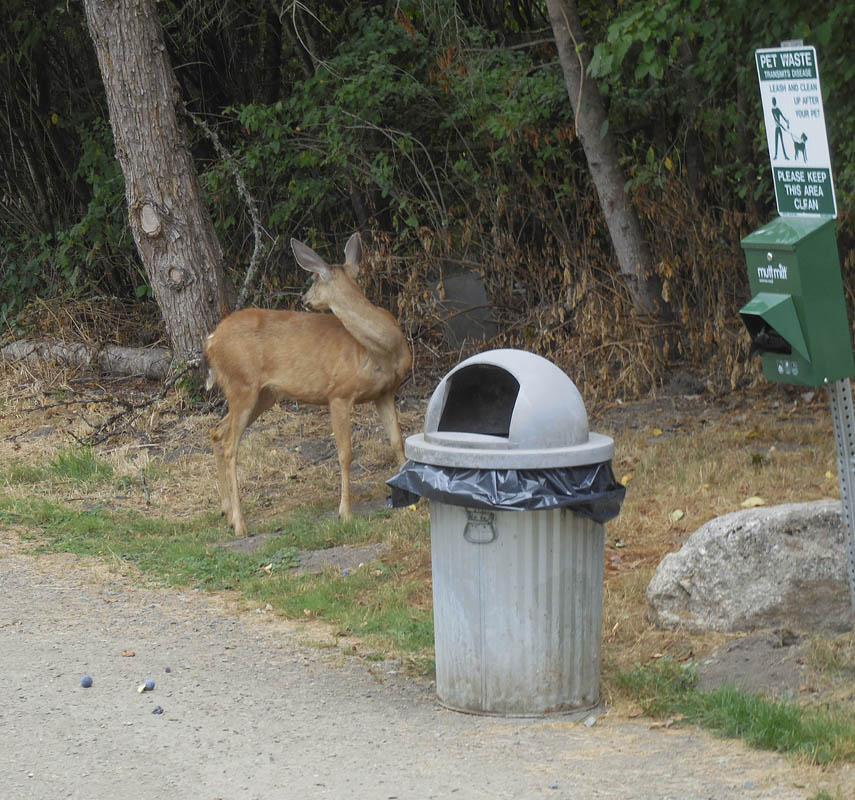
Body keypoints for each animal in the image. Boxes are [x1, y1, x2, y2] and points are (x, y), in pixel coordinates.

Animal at [203, 232, 412, 537]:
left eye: (313, 278)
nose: (304, 299)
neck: (385, 348)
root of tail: (210, 341)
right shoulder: (338, 393)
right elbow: (345, 453)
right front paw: (345, 513)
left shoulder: (385, 392)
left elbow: (397, 441)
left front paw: (413, 498)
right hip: (241, 384)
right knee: (231, 444)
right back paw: (240, 524)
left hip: (263, 394)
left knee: (217, 431)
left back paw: (226, 512)